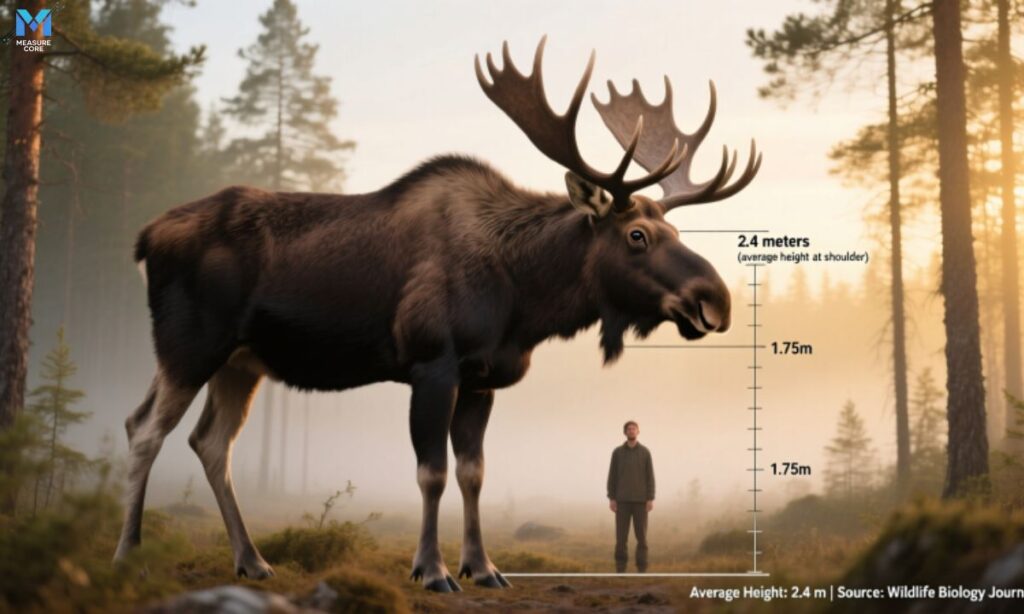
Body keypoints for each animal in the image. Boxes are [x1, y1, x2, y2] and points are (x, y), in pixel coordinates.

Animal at [112, 37, 760, 592]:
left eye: (676, 231)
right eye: (636, 236)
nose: (716, 300)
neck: (522, 299)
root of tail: (144, 238)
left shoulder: (483, 379)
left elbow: (473, 471)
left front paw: (484, 567)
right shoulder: (431, 364)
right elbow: (432, 472)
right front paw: (432, 569)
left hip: (242, 361)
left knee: (209, 441)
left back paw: (251, 560)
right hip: (189, 345)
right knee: (145, 429)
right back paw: (129, 556)